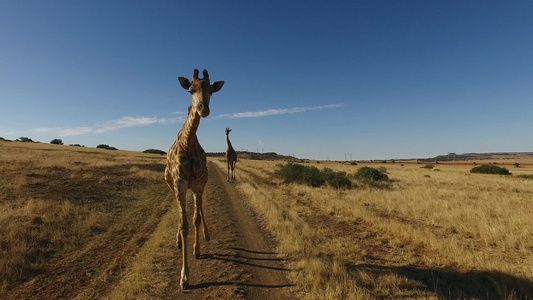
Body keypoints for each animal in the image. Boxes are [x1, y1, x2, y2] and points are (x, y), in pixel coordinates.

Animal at [165, 69, 225, 290]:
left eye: (212, 91)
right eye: (191, 90)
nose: (203, 109)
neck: (188, 142)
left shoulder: (198, 185)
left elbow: (196, 218)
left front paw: (196, 249)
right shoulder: (180, 186)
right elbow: (184, 225)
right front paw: (184, 278)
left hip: (199, 186)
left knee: (199, 210)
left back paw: (205, 236)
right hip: (174, 187)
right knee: (182, 214)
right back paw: (178, 241)